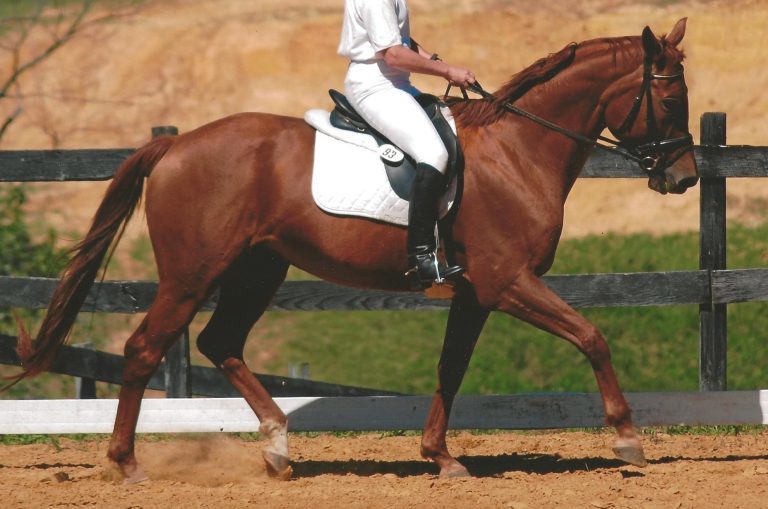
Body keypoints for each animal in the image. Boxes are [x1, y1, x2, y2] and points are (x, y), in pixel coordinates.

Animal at [6, 18, 700, 480]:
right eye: (670, 99)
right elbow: (592, 336)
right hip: (192, 273)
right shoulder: (509, 281)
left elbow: (451, 367)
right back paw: (126, 465)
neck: (518, 151)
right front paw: (627, 437)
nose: (685, 178)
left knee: (219, 342)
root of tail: (175, 145)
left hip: (259, 268)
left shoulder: (476, 291)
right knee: (147, 348)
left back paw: (278, 448)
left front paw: (441, 458)